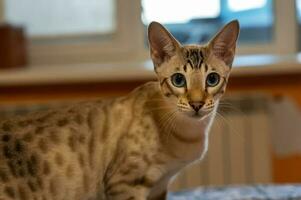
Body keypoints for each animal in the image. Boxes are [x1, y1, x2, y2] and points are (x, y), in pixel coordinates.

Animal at [0, 20, 238, 200]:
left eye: (212, 79)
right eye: (178, 80)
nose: (197, 104)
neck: (189, 134)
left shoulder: (160, 187)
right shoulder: (124, 184)